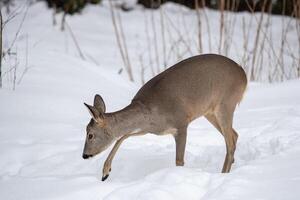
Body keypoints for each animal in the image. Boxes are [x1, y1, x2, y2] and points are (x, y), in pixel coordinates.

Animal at [82, 54, 246, 181]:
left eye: (90, 135)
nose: (84, 155)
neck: (149, 112)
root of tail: (243, 75)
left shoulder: (181, 122)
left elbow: (179, 160)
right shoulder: (148, 129)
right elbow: (122, 137)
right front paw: (105, 172)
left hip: (226, 103)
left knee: (230, 142)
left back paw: (224, 174)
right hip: (210, 112)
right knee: (234, 135)